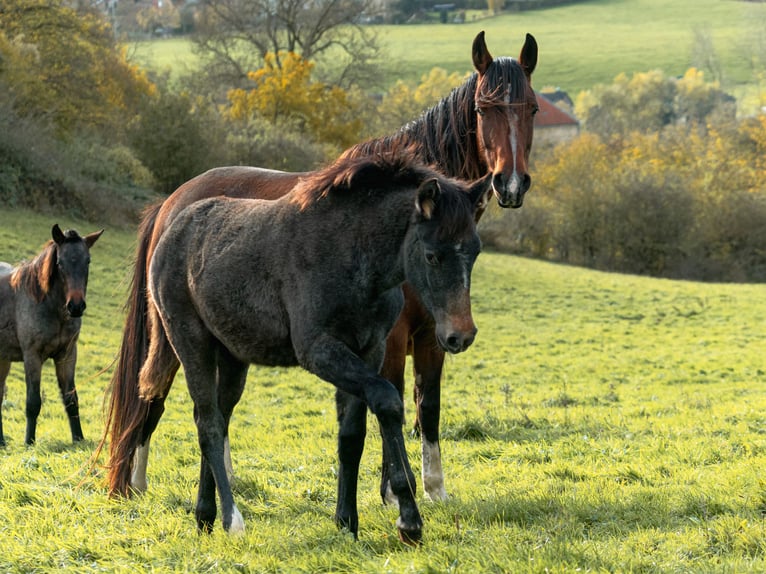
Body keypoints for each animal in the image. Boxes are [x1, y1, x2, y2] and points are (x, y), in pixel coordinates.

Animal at [0, 224, 103, 446]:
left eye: (87, 261)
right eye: (60, 263)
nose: (76, 306)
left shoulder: (67, 355)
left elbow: (71, 398)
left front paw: (78, 439)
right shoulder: (32, 356)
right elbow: (33, 401)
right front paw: (29, 442)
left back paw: (2, 442)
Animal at [103, 30, 538, 503]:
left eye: (532, 108)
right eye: (483, 109)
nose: (510, 183)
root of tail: (171, 203)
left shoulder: (432, 336)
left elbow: (428, 405)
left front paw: (434, 489)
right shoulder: (390, 339)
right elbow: (391, 400)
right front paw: (392, 490)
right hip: (172, 335)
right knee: (154, 391)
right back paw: (138, 482)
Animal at [137, 154, 490, 542]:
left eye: (475, 251)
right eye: (431, 255)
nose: (461, 335)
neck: (348, 255)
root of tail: (171, 224)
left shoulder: (369, 349)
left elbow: (352, 434)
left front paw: (347, 521)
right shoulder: (319, 350)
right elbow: (387, 400)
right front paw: (408, 517)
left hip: (232, 356)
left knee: (219, 416)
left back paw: (204, 516)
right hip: (191, 342)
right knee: (209, 423)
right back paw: (232, 520)